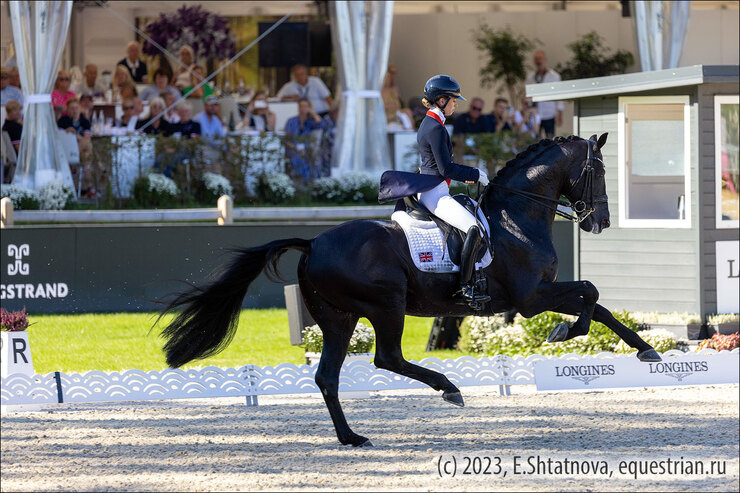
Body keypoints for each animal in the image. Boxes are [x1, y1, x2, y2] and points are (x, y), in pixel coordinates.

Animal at [158, 134, 660, 446]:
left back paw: (351, 437)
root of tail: (313, 242)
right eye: (598, 171)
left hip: (338, 319)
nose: (600, 221)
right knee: (387, 358)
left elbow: (601, 305)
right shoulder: (531, 298)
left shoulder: (540, 294)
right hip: (387, 306)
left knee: (328, 377)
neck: (517, 218)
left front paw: (646, 351)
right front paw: (565, 334)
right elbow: (591, 293)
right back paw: (449, 388)